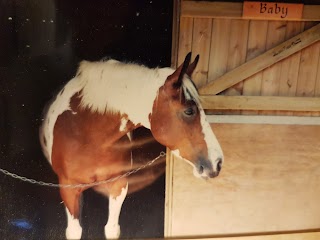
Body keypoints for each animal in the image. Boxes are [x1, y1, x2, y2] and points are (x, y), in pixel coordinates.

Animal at [38, 53, 224, 240]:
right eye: (189, 111)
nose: (218, 162)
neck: (85, 132)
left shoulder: (118, 185)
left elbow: (111, 229)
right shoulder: (68, 189)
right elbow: (74, 231)